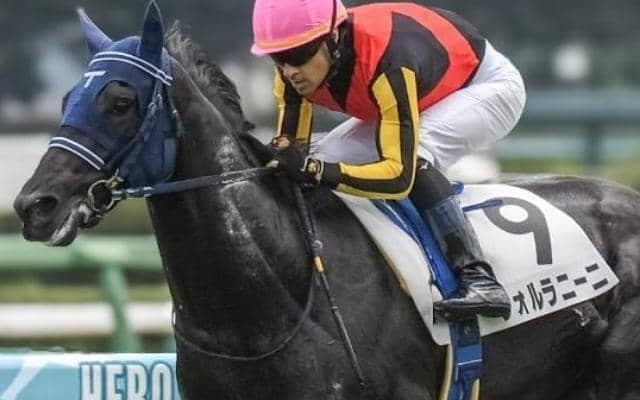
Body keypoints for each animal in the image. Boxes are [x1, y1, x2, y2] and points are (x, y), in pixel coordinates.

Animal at [13, 2, 640, 399]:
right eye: (67, 98)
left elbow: (405, 166)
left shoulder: (395, 73)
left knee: (422, 163)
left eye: (121, 101)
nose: (34, 205)